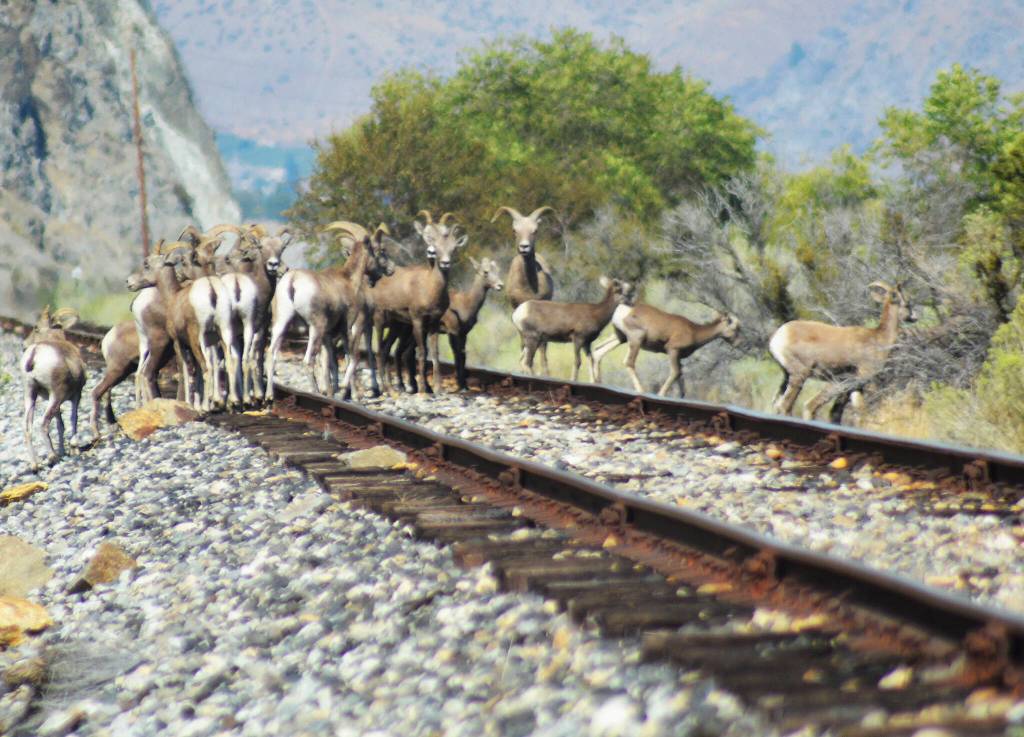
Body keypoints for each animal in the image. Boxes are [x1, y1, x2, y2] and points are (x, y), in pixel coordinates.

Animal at [21, 307, 87, 469]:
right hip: (56, 395)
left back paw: (35, 465)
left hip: (30, 394)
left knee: (27, 427)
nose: (23, 345)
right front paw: (74, 449)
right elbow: (73, 418)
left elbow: (60, 425)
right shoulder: (76, 395)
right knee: (43, 424)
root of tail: (35, 352)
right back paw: (52, 457)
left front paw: (63, 451)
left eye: (35, 327)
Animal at [591, 305, 740, 396]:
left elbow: (680, 376)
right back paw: (641, 390)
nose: (738, 343)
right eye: (735, 328)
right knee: (629, 362)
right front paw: (661, 394)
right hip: (635, 341)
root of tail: (624, 311)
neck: (694, 332)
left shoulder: (678, 357)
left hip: (620, 338)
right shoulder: (672, 350)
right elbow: (675, 373)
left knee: (598, 352)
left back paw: (597, 382)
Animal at [769, 281, 916, 423]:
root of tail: (779, 335)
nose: (915, 317)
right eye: (907, 303)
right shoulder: (863, 378)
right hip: (799, 376)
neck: (878, 337)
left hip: (787, 377)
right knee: (786, 406)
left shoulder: (855, 386)